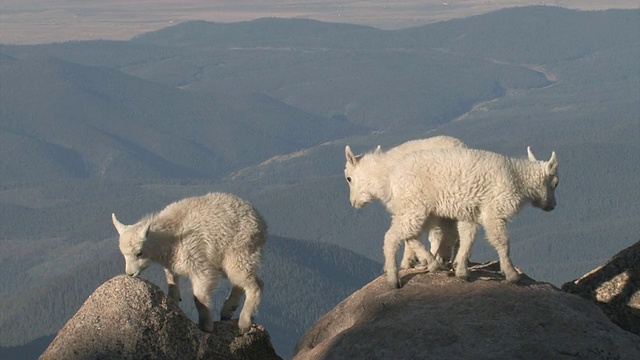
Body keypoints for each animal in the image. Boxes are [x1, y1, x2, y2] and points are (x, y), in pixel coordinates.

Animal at [111, 193, 266, 334]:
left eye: (139, 253)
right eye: (124, 254)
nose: (130, 274)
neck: (169, 240)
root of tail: (260, 220)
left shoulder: (199, 263)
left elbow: (199, 298)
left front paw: (206, 326)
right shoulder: (172, 264)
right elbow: (171, 281)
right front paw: (174, 301)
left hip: (239, 251)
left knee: (255, 285)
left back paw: (244, 323)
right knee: (241, 282)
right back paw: (228, 311)